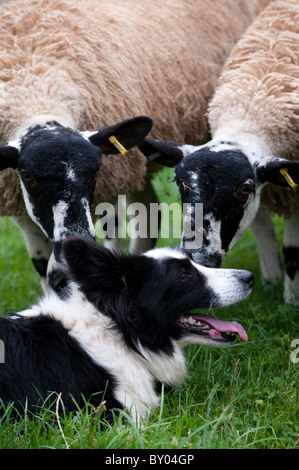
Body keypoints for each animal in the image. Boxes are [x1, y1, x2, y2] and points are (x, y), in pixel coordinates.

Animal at [0, 0, 260, 290]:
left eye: (97, 169)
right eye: (27, 175)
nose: (69, 250)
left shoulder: (112, 185)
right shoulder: (20, 205)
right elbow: (40, 261)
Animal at [138, 0, 299, 304]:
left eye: (245, 189)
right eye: (180, 183)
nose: (199, 256)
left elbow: (293, 250)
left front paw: (291, 300)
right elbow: (261, 224)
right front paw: (271, 281)